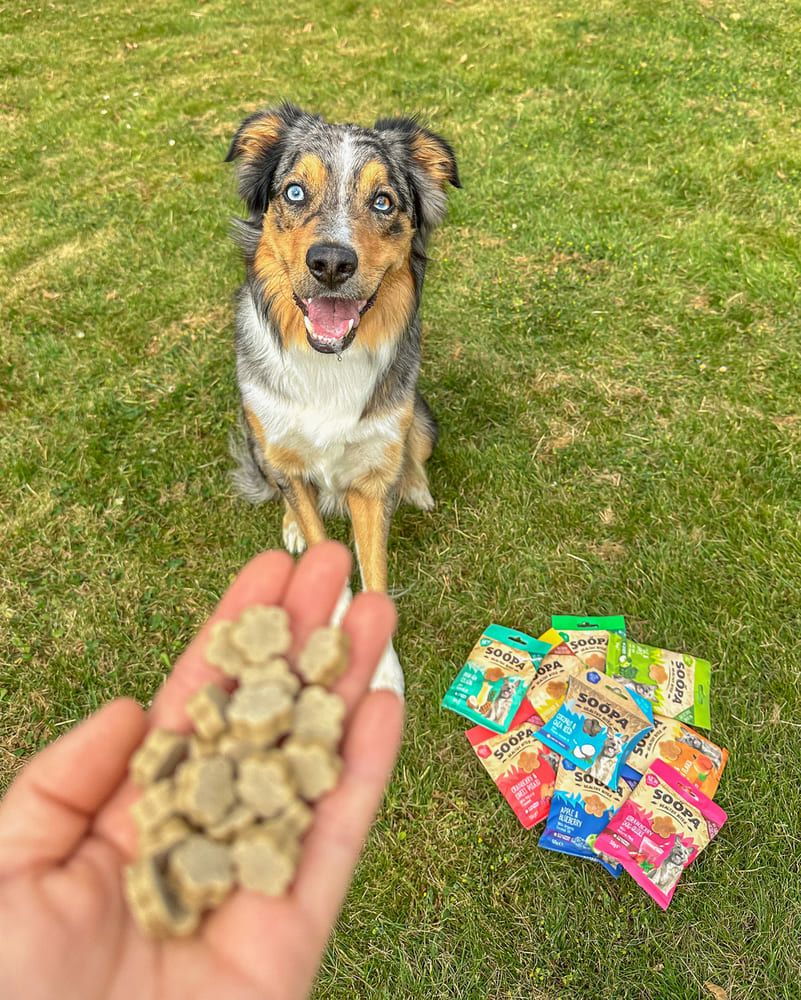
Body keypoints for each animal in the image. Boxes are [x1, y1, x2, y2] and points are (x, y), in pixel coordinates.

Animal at [225, 104, 460, 692]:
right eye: (294, 192)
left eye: (384, 202)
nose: (331, 263)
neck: (328, 363)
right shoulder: (276, 440)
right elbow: (318, 539)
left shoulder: (372, 478)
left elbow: (374, 572)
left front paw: (382, 672)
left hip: (420, 415)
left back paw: (415, 486)